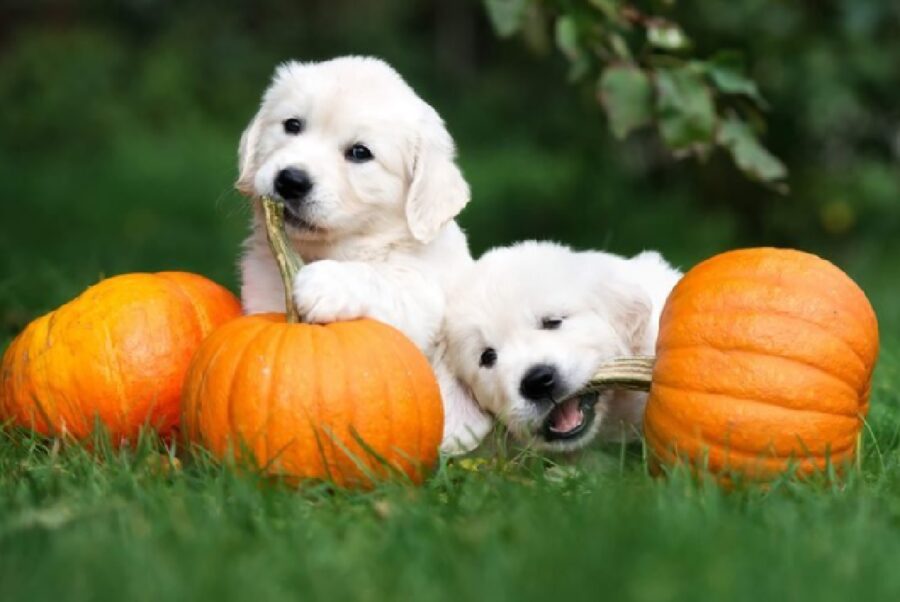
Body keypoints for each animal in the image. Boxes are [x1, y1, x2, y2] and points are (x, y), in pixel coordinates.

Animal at [239, 57, 474, 384]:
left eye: (360, 153)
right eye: (292, 125)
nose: (291, 181)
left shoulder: (426, 301)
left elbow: (383, 280)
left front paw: (325, 282)